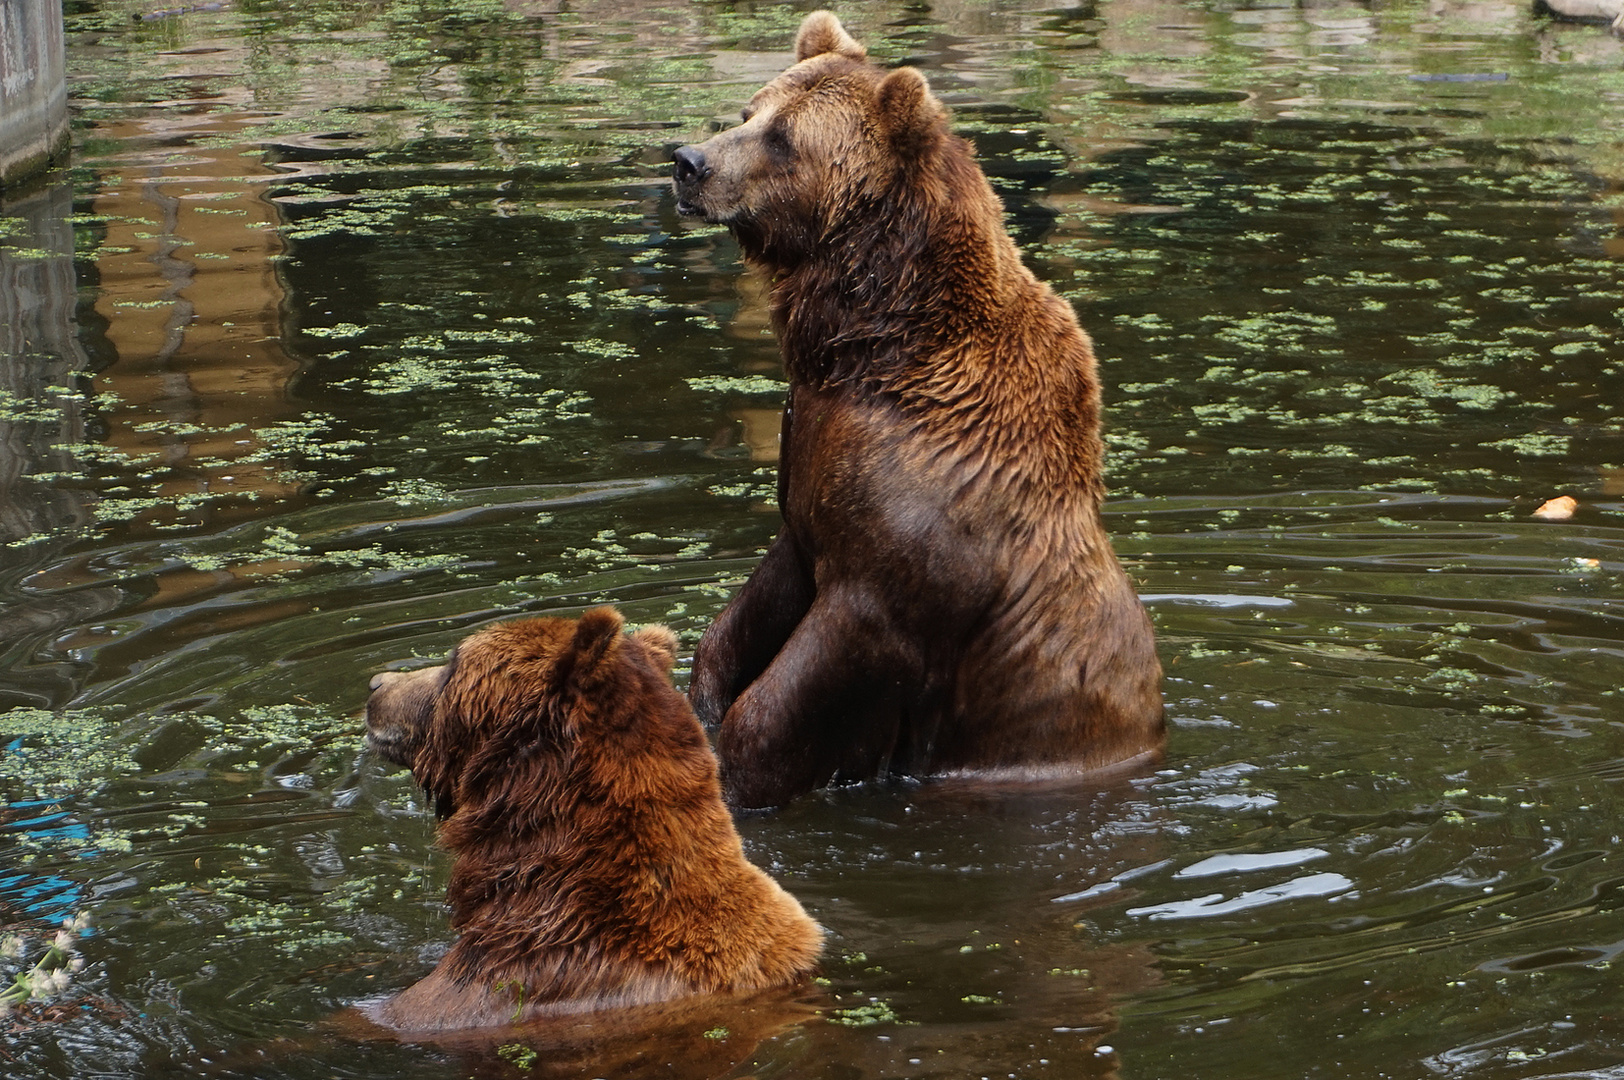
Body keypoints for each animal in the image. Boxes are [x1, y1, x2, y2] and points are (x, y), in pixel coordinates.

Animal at [672, 10, 1169, 808]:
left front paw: (743, 771)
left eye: (784, 137)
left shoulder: (906, 560)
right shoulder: (816, 464)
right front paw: (704, 703)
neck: (874, 341)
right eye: (749, 112)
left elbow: (802, 687)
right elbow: (751, 609)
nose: (688, 161)